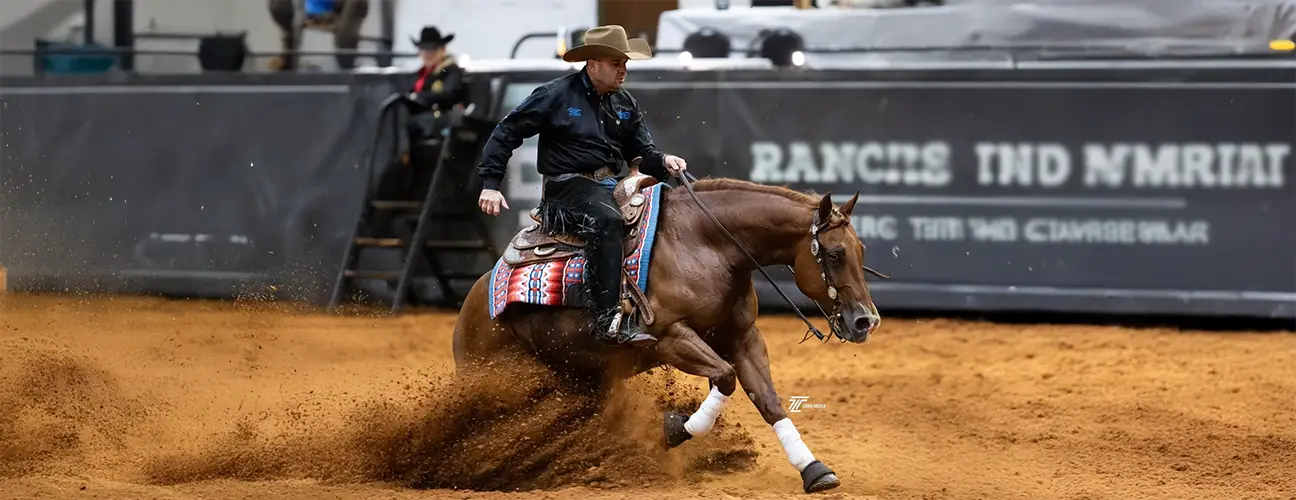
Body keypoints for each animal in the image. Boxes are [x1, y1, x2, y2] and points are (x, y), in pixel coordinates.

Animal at [451, 173, 883, 494]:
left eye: (862, 251)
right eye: (834, 255)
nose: (866, 321)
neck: (708, 244)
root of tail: (470, 308)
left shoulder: (743, 337)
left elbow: (769, 401)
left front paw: (814, 470)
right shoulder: (669, 338)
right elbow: (725, 377)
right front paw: (675, 429)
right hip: (498, 379)